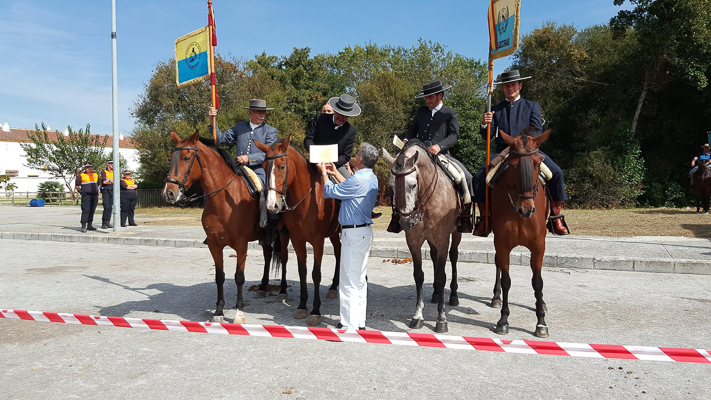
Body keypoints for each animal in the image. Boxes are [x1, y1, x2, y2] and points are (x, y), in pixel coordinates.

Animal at [163, 131, 286, 324]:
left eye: (186, 158)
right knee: (267, 256)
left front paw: (239, 313)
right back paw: (262, 287)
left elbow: (239, 277)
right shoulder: (215, 244)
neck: (223, 200)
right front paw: (219, 310)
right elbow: (219, 277)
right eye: (171, 158)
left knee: (284, 259)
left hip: (284, 234)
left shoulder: (241, 245)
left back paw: (283, 290)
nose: (168, 193)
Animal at [254, 136, 344, 326]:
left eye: (282, 166)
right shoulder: (297, 239)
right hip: (332, 233)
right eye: (264, 167)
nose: (271, 205)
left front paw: (315, 310)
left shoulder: (318, 241)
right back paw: (334, 287)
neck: (307, 200)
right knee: (339, 252)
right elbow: (302, 271)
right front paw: (302, 306)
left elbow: (316, 274)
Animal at [382, 139, 464, 332]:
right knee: (434, 258)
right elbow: (419, 275)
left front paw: (441, 319)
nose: (406, 222)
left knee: (454, 257)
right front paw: (418, 315)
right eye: (391, 185)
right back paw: (435, 294)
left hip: (455, 234)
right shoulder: (413, 240)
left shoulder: (442, 240)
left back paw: (453, 295)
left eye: (413, 185)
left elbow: (442, 276)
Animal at [492, 127, 552, 338]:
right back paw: (496, 297)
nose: (526, 209)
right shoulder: (501, 243)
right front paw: (503, 320)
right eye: (511, 166)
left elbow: (538, 282)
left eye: (537, 164)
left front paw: (541, 322)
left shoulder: (538, 245)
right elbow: (506, 280)